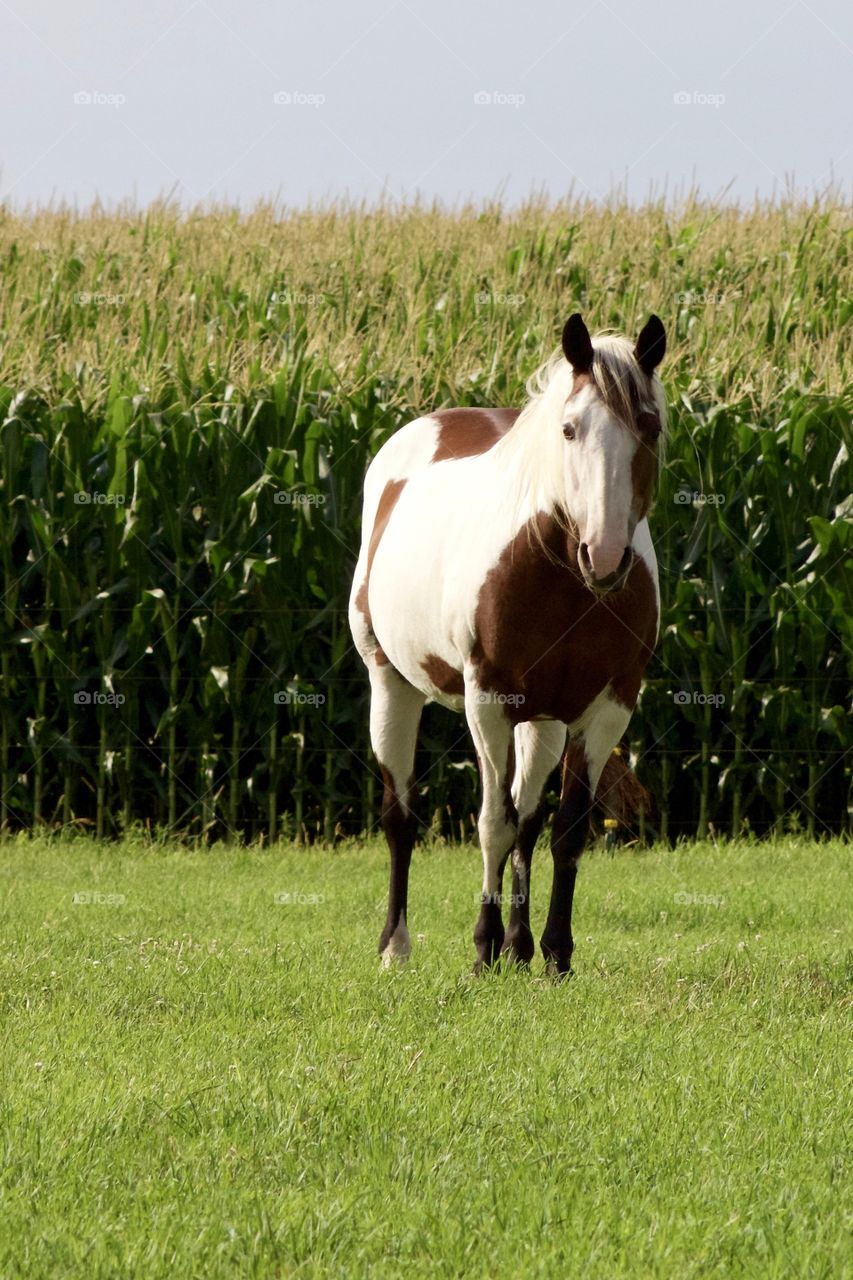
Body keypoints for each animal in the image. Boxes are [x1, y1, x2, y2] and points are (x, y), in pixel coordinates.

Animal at [348, 313, 666, 974]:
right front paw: (483, 947)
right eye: (569, 428)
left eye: (648, 426)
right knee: (401, 816)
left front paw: (554, 954)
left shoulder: (608, 707)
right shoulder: (487, 701)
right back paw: (397, 946)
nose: (604, 558)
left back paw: (520, 946)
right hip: (391, 684)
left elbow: (562, 828)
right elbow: (493, 823)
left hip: (540, 721)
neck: (563, 579)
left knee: (529, 815)